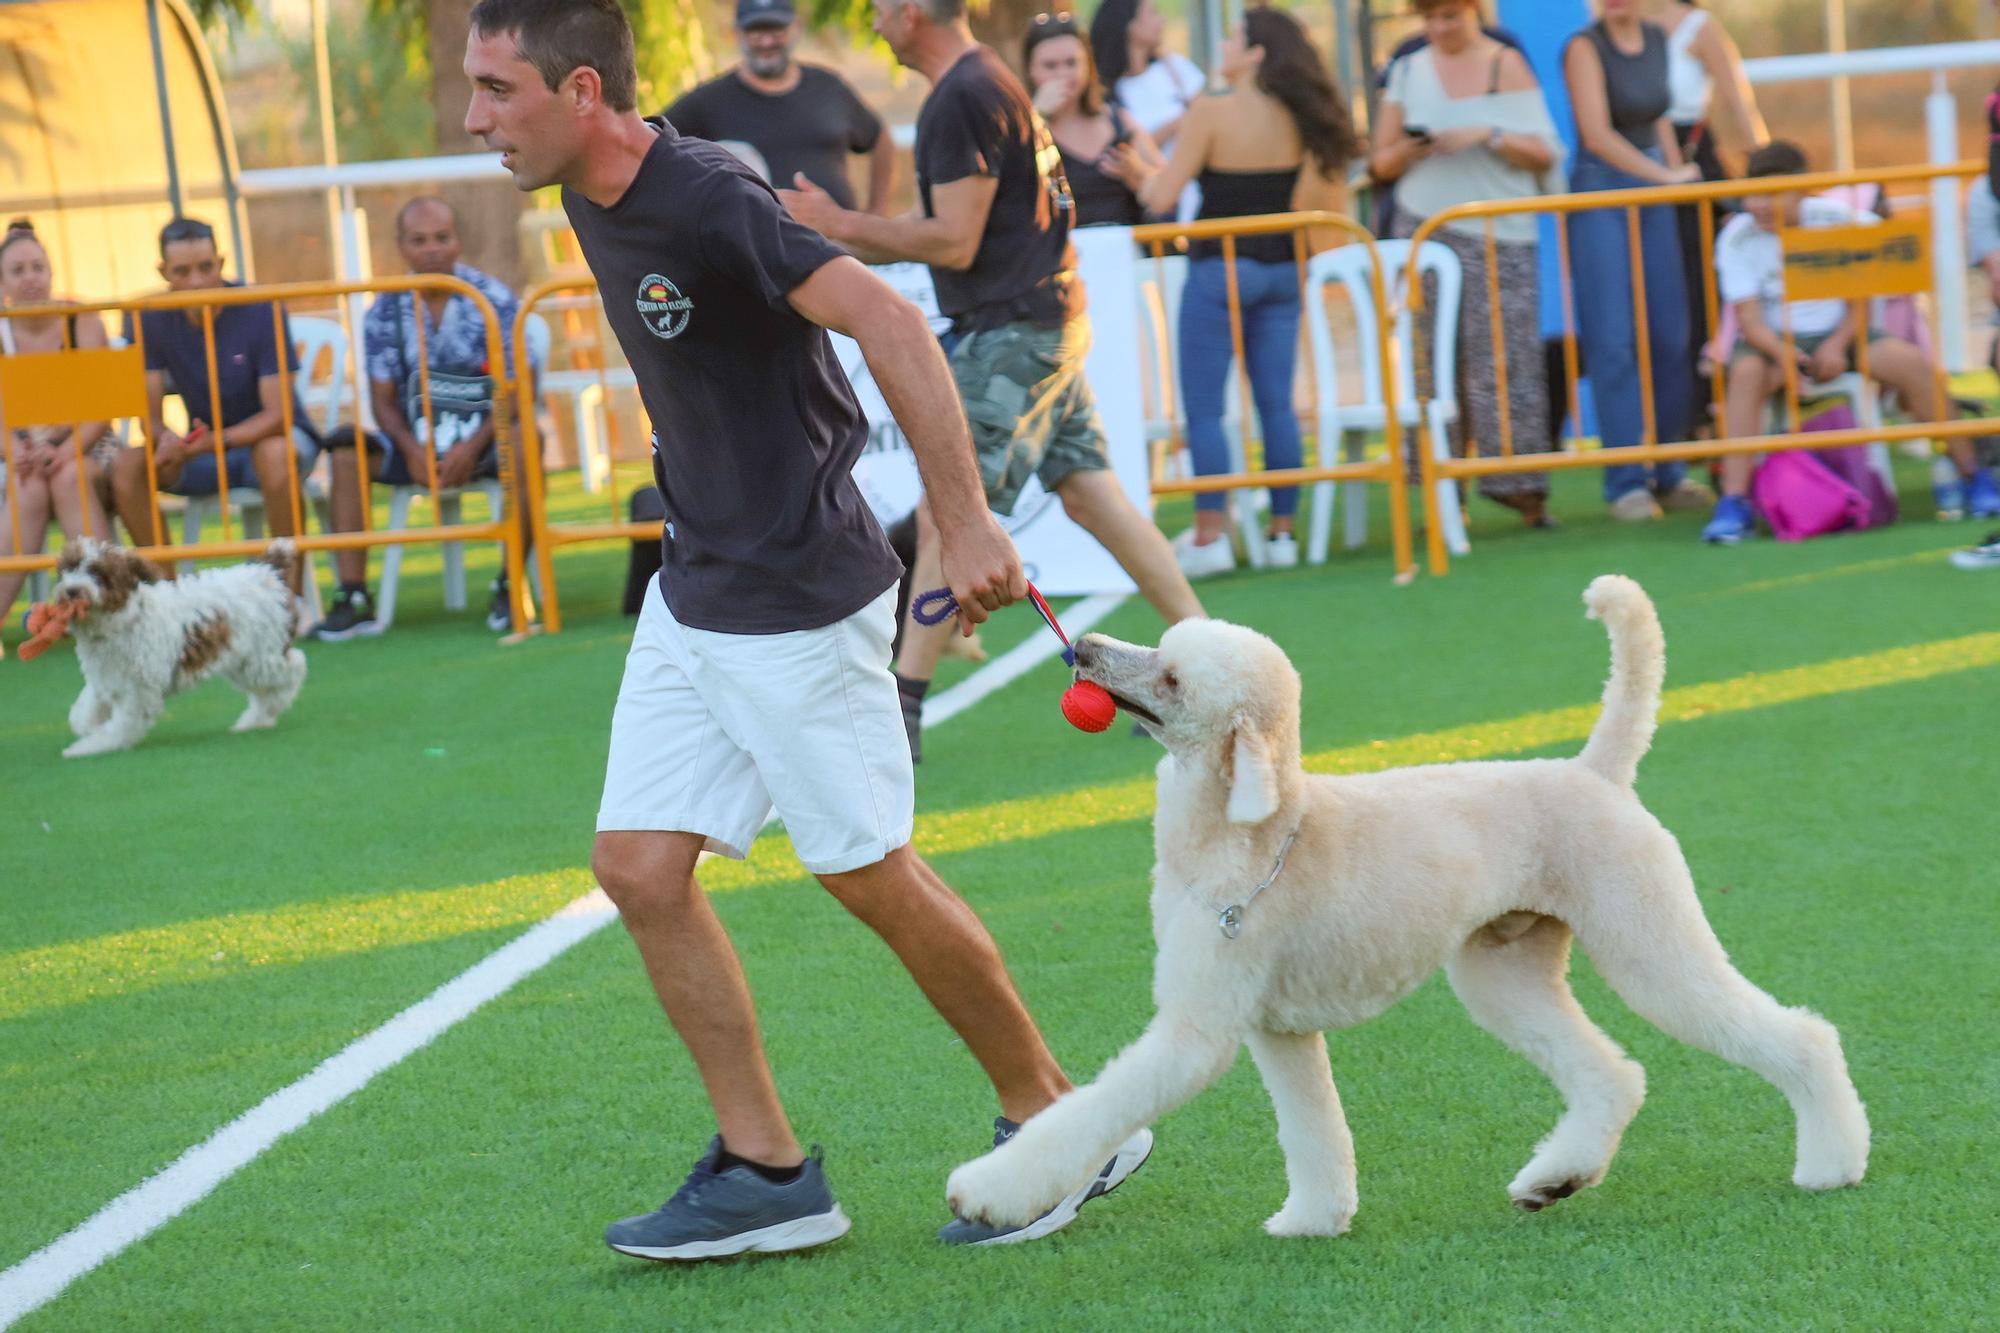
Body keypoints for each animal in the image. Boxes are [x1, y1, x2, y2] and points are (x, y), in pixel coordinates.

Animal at [47, 536, 308, 752]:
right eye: (69, 568)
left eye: (97, 573)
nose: (71, 591)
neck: (124, 620)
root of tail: (268, 571)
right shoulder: (106, 678)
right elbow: (85, 710)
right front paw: (88, 728)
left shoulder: (139, 690)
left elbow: (121, 725)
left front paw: (88, 747)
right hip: (242, 662)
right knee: (265, 690)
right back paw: (254, 721)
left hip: (261, 658)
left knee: (295, 666)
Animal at [944, 576, 1864, 1232]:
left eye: (1170, 676)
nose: (1084, 646)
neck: (1252, 833)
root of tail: (1595, 772)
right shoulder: (1278, 1029)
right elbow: (1314, 1131)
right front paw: (1313, 1220)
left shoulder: (1195, 1030)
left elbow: (1091, 1112)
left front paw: (987, 1190)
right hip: (1503, 971)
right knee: (1612, 1073)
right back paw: (1555, 1178)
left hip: (1648, 939)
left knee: (1799, 1036)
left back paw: (1833, 1162)